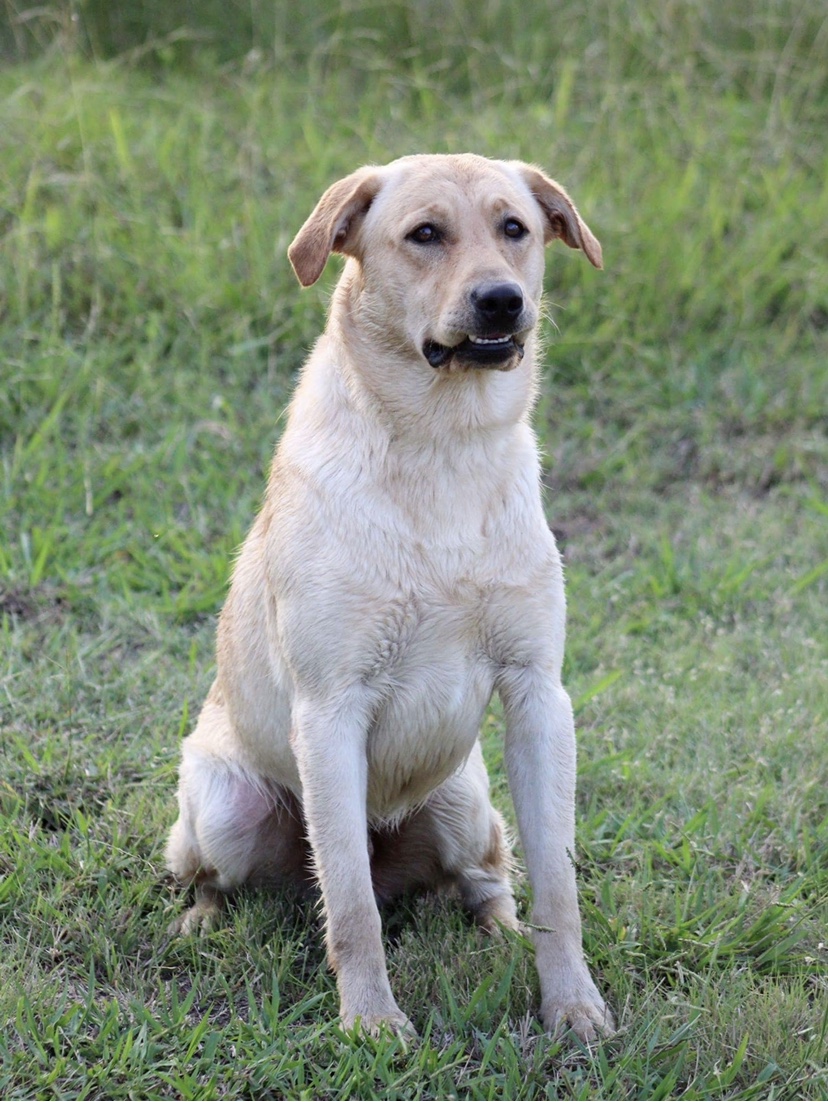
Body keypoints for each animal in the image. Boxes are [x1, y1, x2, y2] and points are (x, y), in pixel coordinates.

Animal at [165, 153, 613, 1040]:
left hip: (465, 801)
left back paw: (500, 933)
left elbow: (559, 885)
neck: (442, 444)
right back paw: (201, 923)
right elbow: (351, 906)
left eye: (515, 228)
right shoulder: (330, 711)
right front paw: (371, 1023)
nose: (501, 301)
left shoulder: (539, 697)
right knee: (226, 878)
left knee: (488, 878)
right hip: (225, 806)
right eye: (425, 234)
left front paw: (572, 1005)